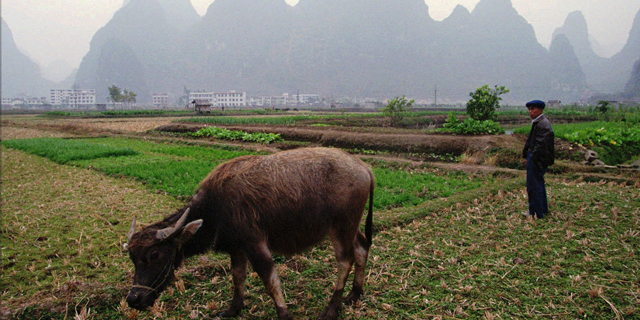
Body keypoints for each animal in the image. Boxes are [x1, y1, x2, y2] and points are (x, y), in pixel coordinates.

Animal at [124, 146, 376, 318]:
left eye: (155, 255)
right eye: (132, 258)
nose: (134, 299)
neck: (215, 207)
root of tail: (364, 167)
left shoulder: (255, 244)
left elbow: (269, 279)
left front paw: (283, 313)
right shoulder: (237, 248)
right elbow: (238, 276)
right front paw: (233, 308)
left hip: (341, 227)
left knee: (345, 261)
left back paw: (332, 308)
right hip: (351, 227)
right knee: (362, 247)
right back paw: (355, 293)